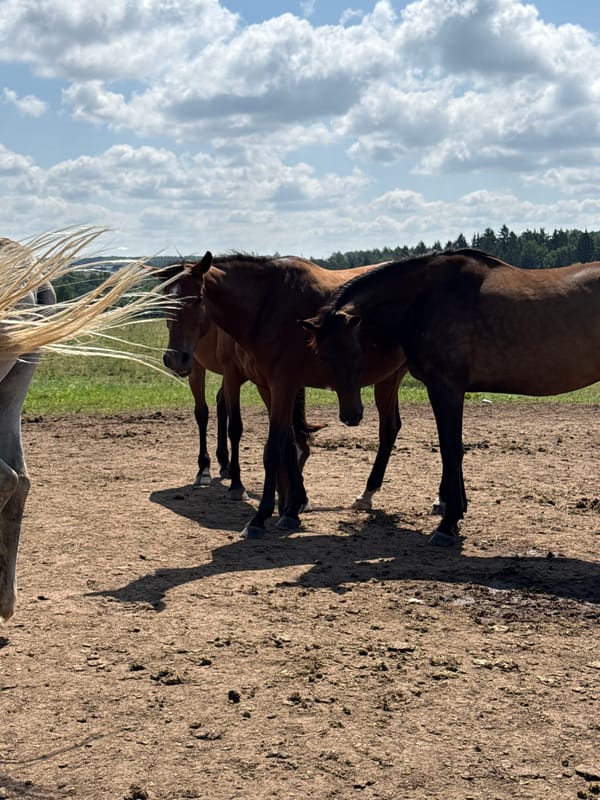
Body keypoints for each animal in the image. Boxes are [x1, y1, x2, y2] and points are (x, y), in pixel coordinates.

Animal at [159, 260, 319, 504]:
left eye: (306, 456)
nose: (296, 501)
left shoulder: (268, 381)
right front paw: (237, 486)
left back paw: (224, 464)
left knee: (220, 403)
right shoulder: (234, 374)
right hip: (196, 367)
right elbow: (235, 427)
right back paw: (204, 469)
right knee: (202, 413)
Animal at [183, 252, 408, 539]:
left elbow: (272, 440)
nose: (297, 503)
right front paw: (282, 505)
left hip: (390, 377)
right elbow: (279, 438)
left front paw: (275, 508)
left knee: (389, 427)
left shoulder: (272, 381)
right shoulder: (261, 382)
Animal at [301, 248, 600, 546]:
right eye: (323, 356)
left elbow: (451, 450)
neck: (426, 297)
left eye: (354, 353)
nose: (350, 416)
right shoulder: (451, 390)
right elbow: (455, 450)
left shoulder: (445, 387)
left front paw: (448, 523)